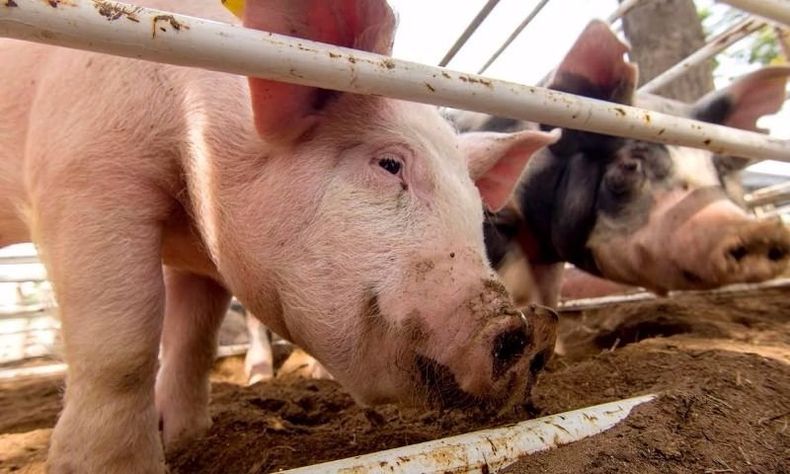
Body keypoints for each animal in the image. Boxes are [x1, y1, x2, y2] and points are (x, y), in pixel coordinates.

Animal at [0, 0, 560, 471]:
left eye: (475, 210)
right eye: (389, 164)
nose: (525, 327)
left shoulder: (200, 260)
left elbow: (193, 341)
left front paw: (185, 439)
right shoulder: (83, 174)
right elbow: (122, 346)